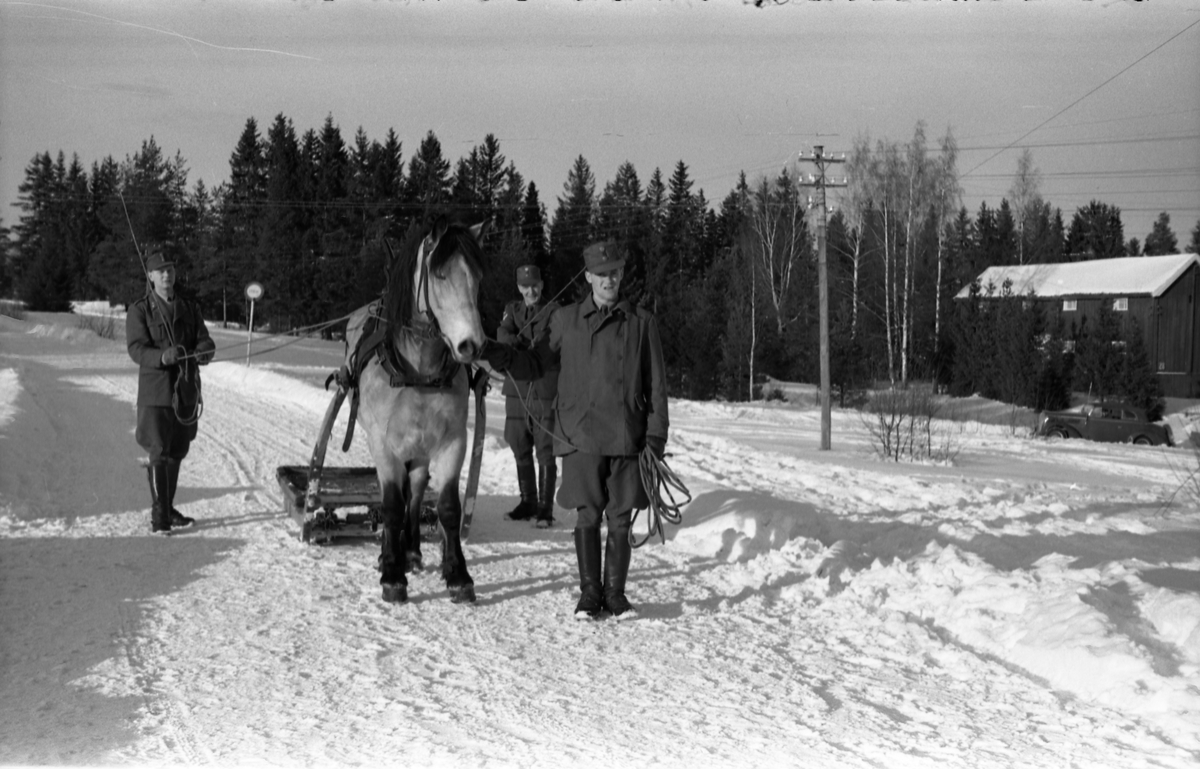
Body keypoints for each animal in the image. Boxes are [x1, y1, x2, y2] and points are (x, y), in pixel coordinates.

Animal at [343, 213, 487, 602]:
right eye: (440, 277)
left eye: (477, 276)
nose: (471, 345)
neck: (419, 371)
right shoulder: (383, 444)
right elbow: (390, 505)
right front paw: (392, 574)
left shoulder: (454, 441)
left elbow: (447, 507)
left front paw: (457, 574)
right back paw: (391, 553)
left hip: (420, 449)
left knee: (417, 490)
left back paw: (412, 549)